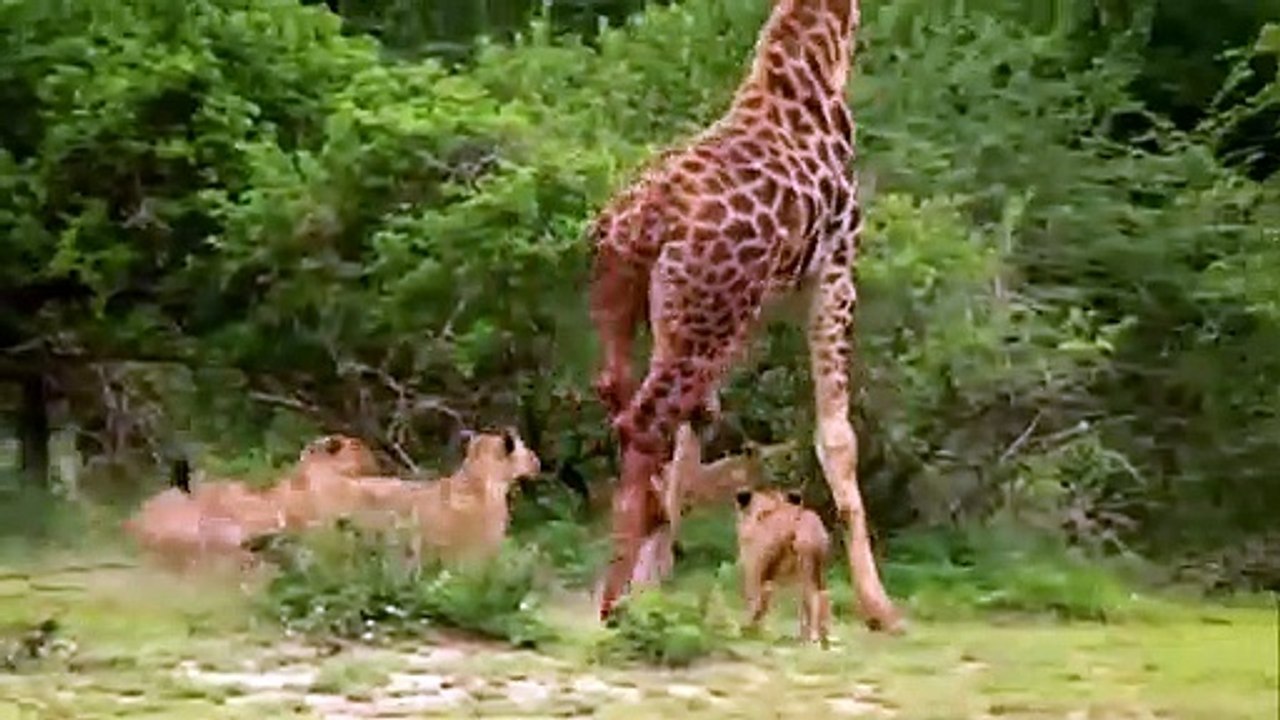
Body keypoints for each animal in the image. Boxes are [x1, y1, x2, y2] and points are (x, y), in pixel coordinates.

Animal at [734, 488, 832, 645]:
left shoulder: (753, 566)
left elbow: (754, 598)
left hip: (764, 568)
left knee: (765, 595)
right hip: (814, 568)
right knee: (819, 595)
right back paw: (817, 637)